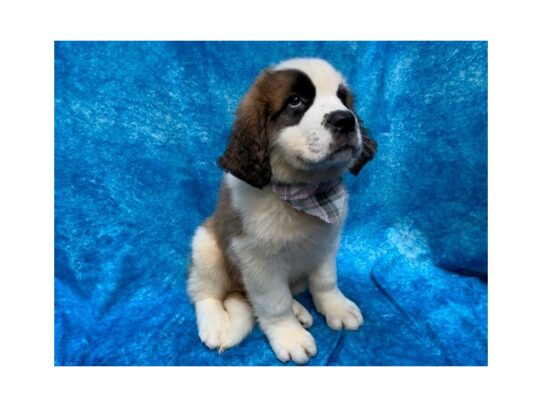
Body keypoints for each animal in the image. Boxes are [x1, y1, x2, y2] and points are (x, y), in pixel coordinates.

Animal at [189, 56, 376, 364]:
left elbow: (325, 280)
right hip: (205, 246)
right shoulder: (257, 259)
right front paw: (289, 336)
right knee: (205, 293)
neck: (304, 192)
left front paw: (336, 307)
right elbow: (274, 302)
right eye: (295, 101)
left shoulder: (326, 242)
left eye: (342, 99)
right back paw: (215, 324)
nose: (345, 119)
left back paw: (299, 310)